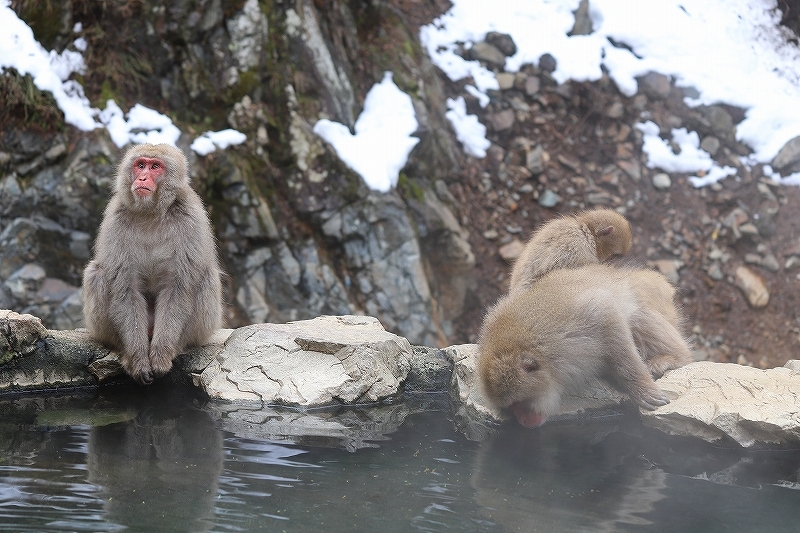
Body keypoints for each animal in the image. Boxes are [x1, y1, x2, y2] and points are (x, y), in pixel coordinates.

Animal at [82, 143, 222, 384]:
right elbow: (125, 289)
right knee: (97, 273)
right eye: (140, 165)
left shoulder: (190, 220)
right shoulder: (115, 220)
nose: (143, 178)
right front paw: (138, 361)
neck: (151, 213)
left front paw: (160, 357)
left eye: (155, 166)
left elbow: (177, 288)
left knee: (207, 277)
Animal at [478, 262, 692, 428]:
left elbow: (607, 314)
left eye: (519, 403)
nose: (522, 421)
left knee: (637, 316)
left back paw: (674, 357)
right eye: (510, 407)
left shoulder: (576, 327)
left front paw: (641, 388)